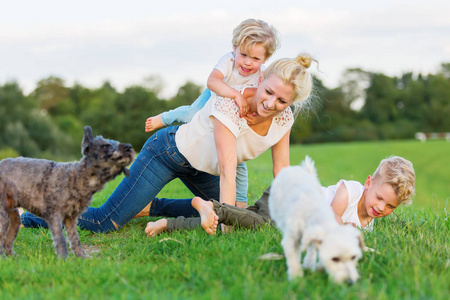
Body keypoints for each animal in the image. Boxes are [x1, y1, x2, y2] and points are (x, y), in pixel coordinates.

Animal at [0, 125, 134, 258]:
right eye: (105, 146)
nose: (129, 147)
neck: (77, 177)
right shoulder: (54, 216)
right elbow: (60, 239)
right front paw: (63, 259)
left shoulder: (70, 218)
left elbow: (75, 239)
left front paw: (82, 257)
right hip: (3, 216)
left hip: (14, 218)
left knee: (7, 241)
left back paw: (13, 257)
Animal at [268, 156, 364, 284]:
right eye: (335, 259)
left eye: (353, 257)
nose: (349, 282)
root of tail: (294, 169)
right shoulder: (291, 240)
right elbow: (293, 260)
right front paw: (296, 279)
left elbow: (312, 247)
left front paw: (310, 265)